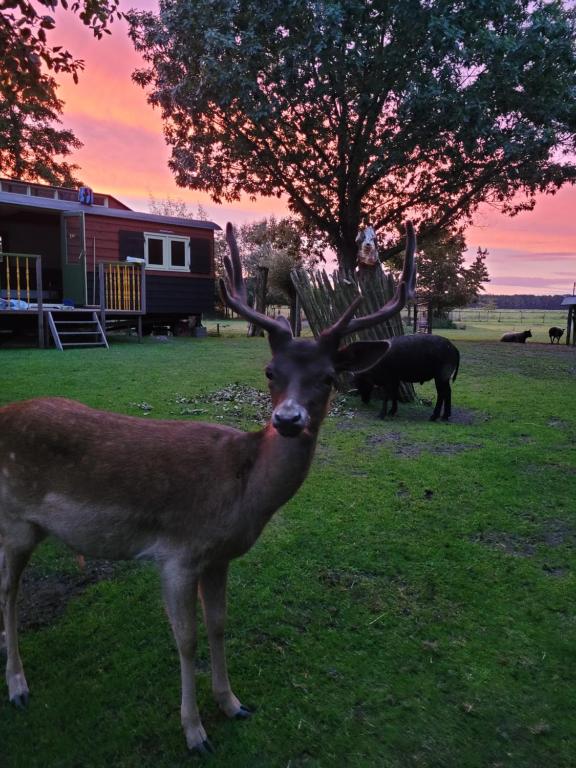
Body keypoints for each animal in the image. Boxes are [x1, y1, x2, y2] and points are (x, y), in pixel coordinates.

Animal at [0, 222, 414, 756]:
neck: (240, 495)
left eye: (329, 377)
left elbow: (218, 624)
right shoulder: (177, 552)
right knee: (9, 589)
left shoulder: (218, 557)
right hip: (15, 516)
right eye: (270, 372)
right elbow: (187, 639)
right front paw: (195, 731)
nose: (287, 419)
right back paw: (18, 686)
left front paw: (232, 703)